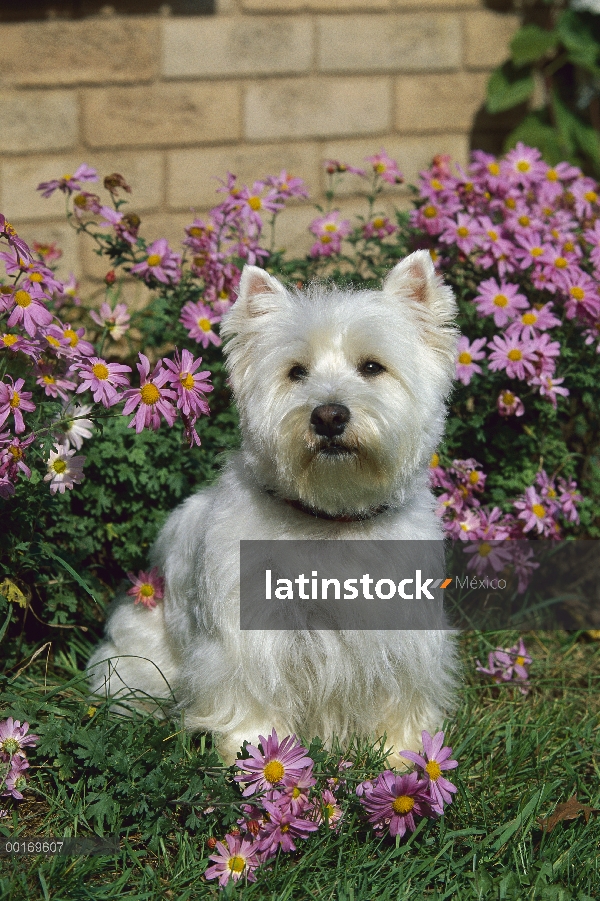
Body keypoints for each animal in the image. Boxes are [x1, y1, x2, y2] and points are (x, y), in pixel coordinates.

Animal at [85, 250, 460, 764]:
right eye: (296, 372)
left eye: (372, 367)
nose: (328, 416)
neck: (331, 518)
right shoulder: (249, 637)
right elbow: (251, 696)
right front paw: (256, 755)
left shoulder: (400, 635)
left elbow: (398, 695)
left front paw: (404, 756)